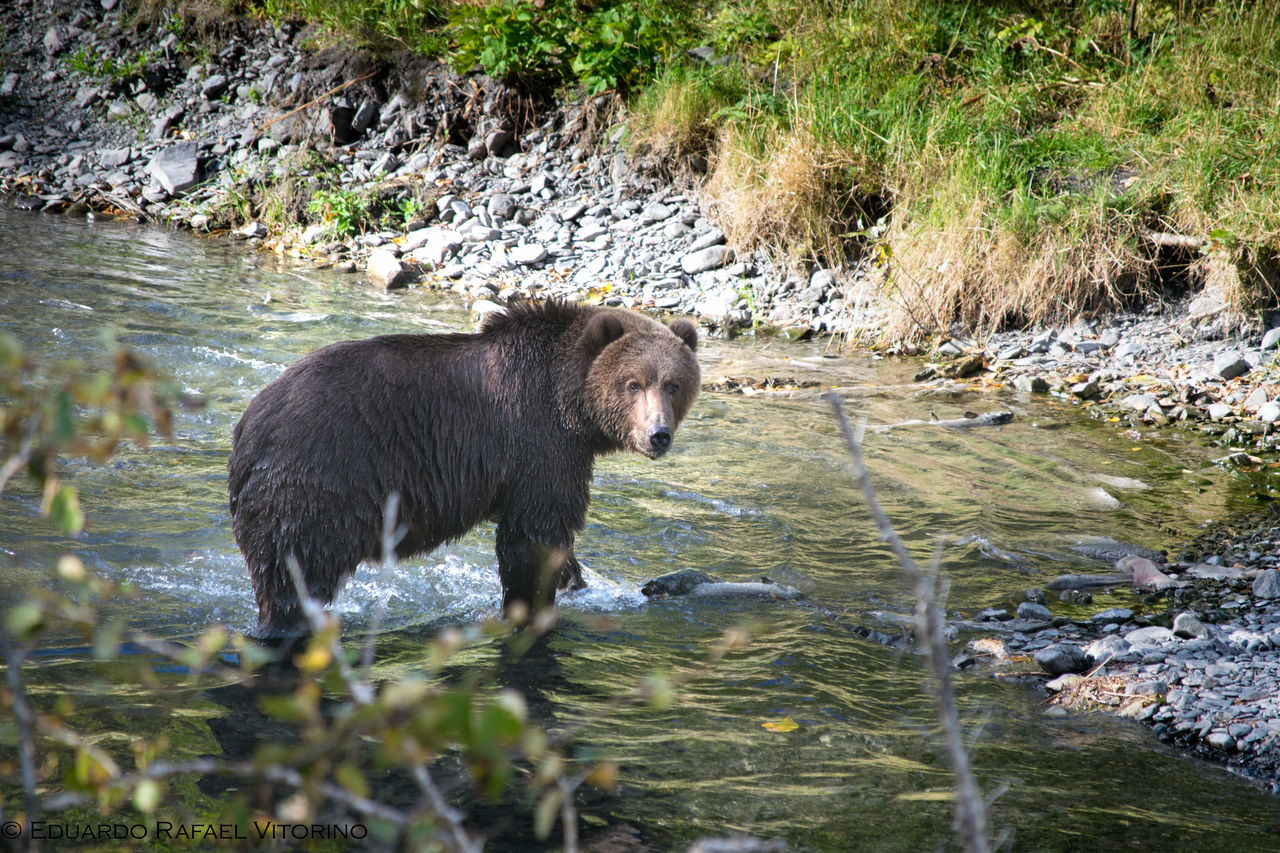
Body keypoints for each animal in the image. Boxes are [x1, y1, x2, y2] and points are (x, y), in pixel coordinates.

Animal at [227, 298, 701, 637]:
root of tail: (249, 424)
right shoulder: (538, 440)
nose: (658, 434)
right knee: (296, 569)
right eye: (633, 383)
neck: (571, 405)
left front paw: (573, 581)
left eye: (674, 384)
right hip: (319, 479)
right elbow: (534, 532)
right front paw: (530, 605)